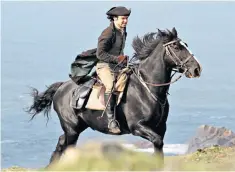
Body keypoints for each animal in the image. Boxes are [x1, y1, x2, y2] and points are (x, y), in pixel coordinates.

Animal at [26, 27, 202, 165]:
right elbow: (157, 142)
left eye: (185, 45)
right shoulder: (137, 127)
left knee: (61, 144)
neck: (147, 89)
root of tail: (62, 86)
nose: (197, 69)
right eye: (177, 47)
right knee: (67, 147)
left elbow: (159, 148)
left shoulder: (160, 128)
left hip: (78, 127)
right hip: (72, 129)